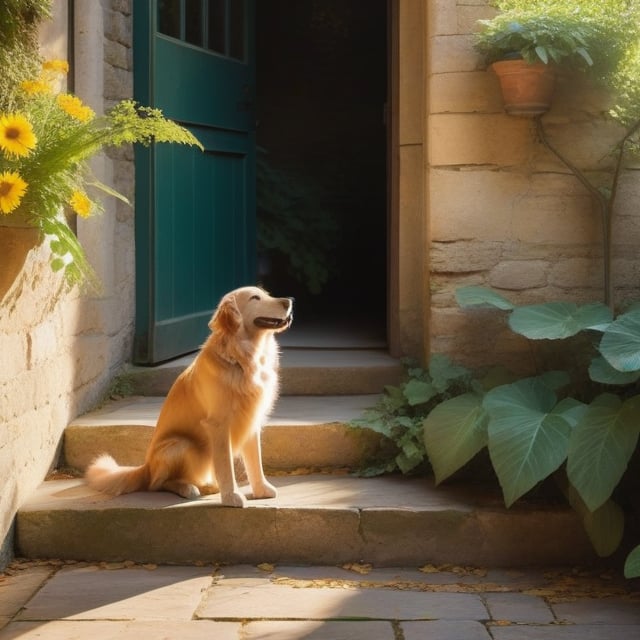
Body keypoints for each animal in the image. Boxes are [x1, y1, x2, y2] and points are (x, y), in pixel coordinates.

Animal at [85, 284, 292, 504]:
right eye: (255, 298)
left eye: (266, 294)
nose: (289, 301)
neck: (242, 359)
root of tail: (146, 468)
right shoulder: (219, 425)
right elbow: (226, 467)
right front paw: (232, 497)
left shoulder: (251, 419)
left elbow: (255, 462)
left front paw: (261, 490)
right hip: (181, 445)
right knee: (158, 484)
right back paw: (187, 488)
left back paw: (208, 486)